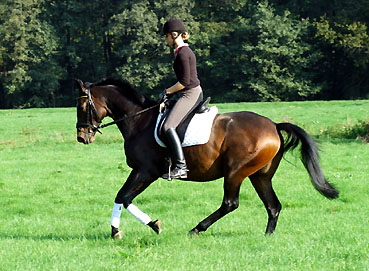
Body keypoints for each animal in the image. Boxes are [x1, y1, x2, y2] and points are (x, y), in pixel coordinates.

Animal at [74, 77, 336, 239]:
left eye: (82, 106)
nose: (81, 137)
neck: (139, 120)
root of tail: (273, 125)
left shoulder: (146, 172)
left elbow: (126, 197)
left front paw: (151, 226)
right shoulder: (138, 171)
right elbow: (121, 196)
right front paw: (116, 231)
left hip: (236, 172)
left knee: (230, 203)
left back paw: (197, 229)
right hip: (260, 176)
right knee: (273, 206)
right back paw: (267, 236)